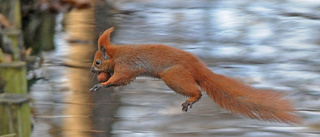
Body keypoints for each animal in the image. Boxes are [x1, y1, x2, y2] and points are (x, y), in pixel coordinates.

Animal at [90, 27, 300, 123]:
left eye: (98, 62)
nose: (92, 70)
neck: (117, 55)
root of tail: (197, 68)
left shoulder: (126, 67)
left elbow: (119, 78)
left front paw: (102, 84)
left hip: (174, 77)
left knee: (197, 91)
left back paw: (192, 99)